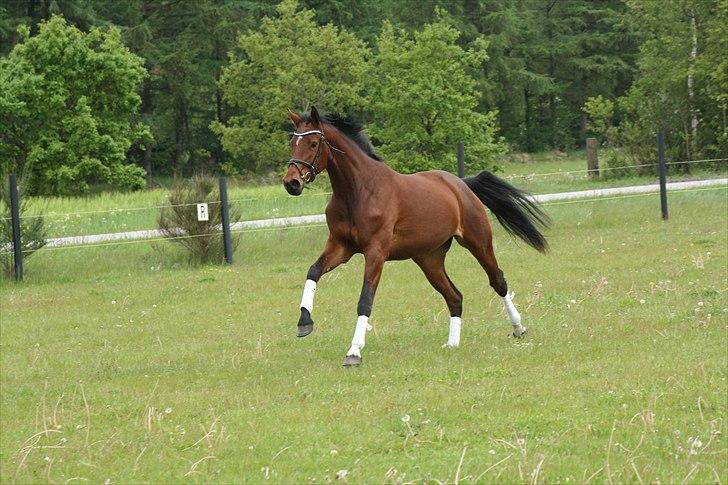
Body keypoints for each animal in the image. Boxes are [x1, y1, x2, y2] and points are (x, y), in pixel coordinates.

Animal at [282, 106, 548, 364]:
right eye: (292, 142)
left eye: (313, 144)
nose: (291, 183)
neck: (358, 191)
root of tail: (461, 184)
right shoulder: (340, 246)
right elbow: (313, 271)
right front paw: (304, 323)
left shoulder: (375, 252)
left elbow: (365, 299)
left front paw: (354, 352)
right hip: (429, 259)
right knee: (454, 296)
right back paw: (452, 344)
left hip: (478, 243)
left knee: (498, 281)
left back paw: (519, 329)